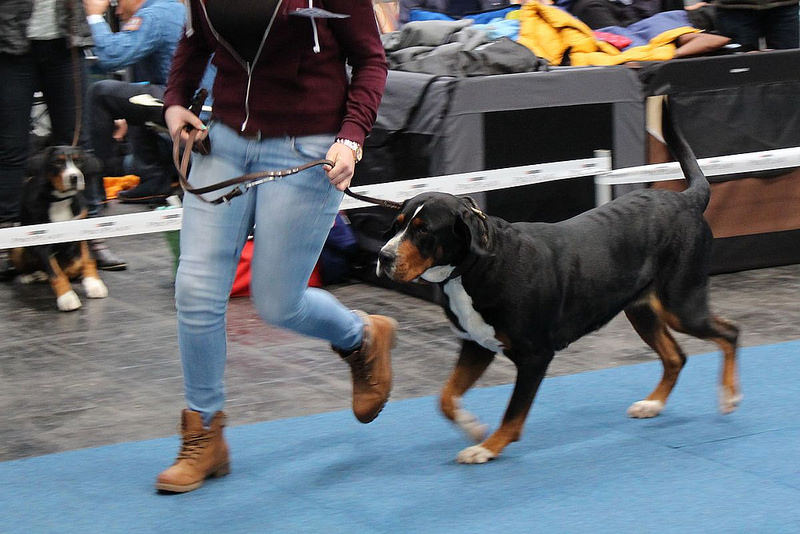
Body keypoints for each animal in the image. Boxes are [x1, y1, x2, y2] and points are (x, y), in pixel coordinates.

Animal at [9, 147, 108, 314]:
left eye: (78, 160)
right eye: (57, 162)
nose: (74, 177)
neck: (60, 200)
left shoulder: (83, 230)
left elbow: (88, 259)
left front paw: (94, 284)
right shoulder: (42, 241)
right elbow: (56, 274)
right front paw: (67, 298)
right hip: (18, 245)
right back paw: (29, 275)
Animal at [378, 102, 740, 462]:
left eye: (424, 230)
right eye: (397, 225)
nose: (384, 256)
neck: (477, 268)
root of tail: (686, 199)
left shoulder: (534, 355)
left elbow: (513, 412)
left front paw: (486, 447)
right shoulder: (476, 344)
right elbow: (445, 396)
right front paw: (472, 426)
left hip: (681, 304)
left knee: (729, 333)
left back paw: (729, 395)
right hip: (643, 310)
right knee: (676, 356)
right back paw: (652, 404)